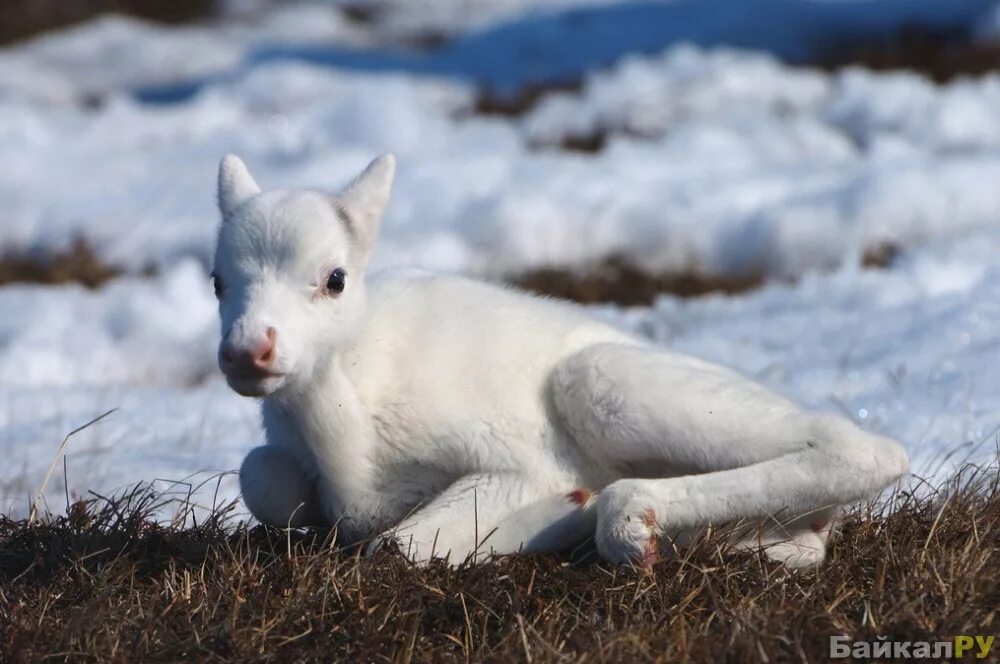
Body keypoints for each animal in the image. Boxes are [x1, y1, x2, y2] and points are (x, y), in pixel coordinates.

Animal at [215, 153, 912, 568]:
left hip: (601, 382)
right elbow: (262, 477)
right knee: (805, 540)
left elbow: (398, 546)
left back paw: (623, 518)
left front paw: (554, 514)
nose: (249, 350)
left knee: (864, 448)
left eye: (335, 278)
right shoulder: (287, 465)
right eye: (218, 280)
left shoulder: (517, 459)